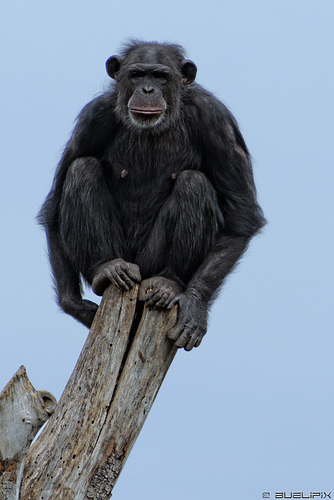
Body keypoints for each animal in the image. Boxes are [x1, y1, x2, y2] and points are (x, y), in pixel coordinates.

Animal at [37, 41, 266, 350]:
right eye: (136, 75)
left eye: (160, 76)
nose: (147, 90)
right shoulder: (93, 117)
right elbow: (54, 204)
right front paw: (74, 304)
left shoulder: (215, 121)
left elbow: (241, 216)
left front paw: (194, 307)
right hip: (124, 258)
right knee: (81, 168)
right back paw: (106, 268)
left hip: (150, 261)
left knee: (194, 183)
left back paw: (169, 283)